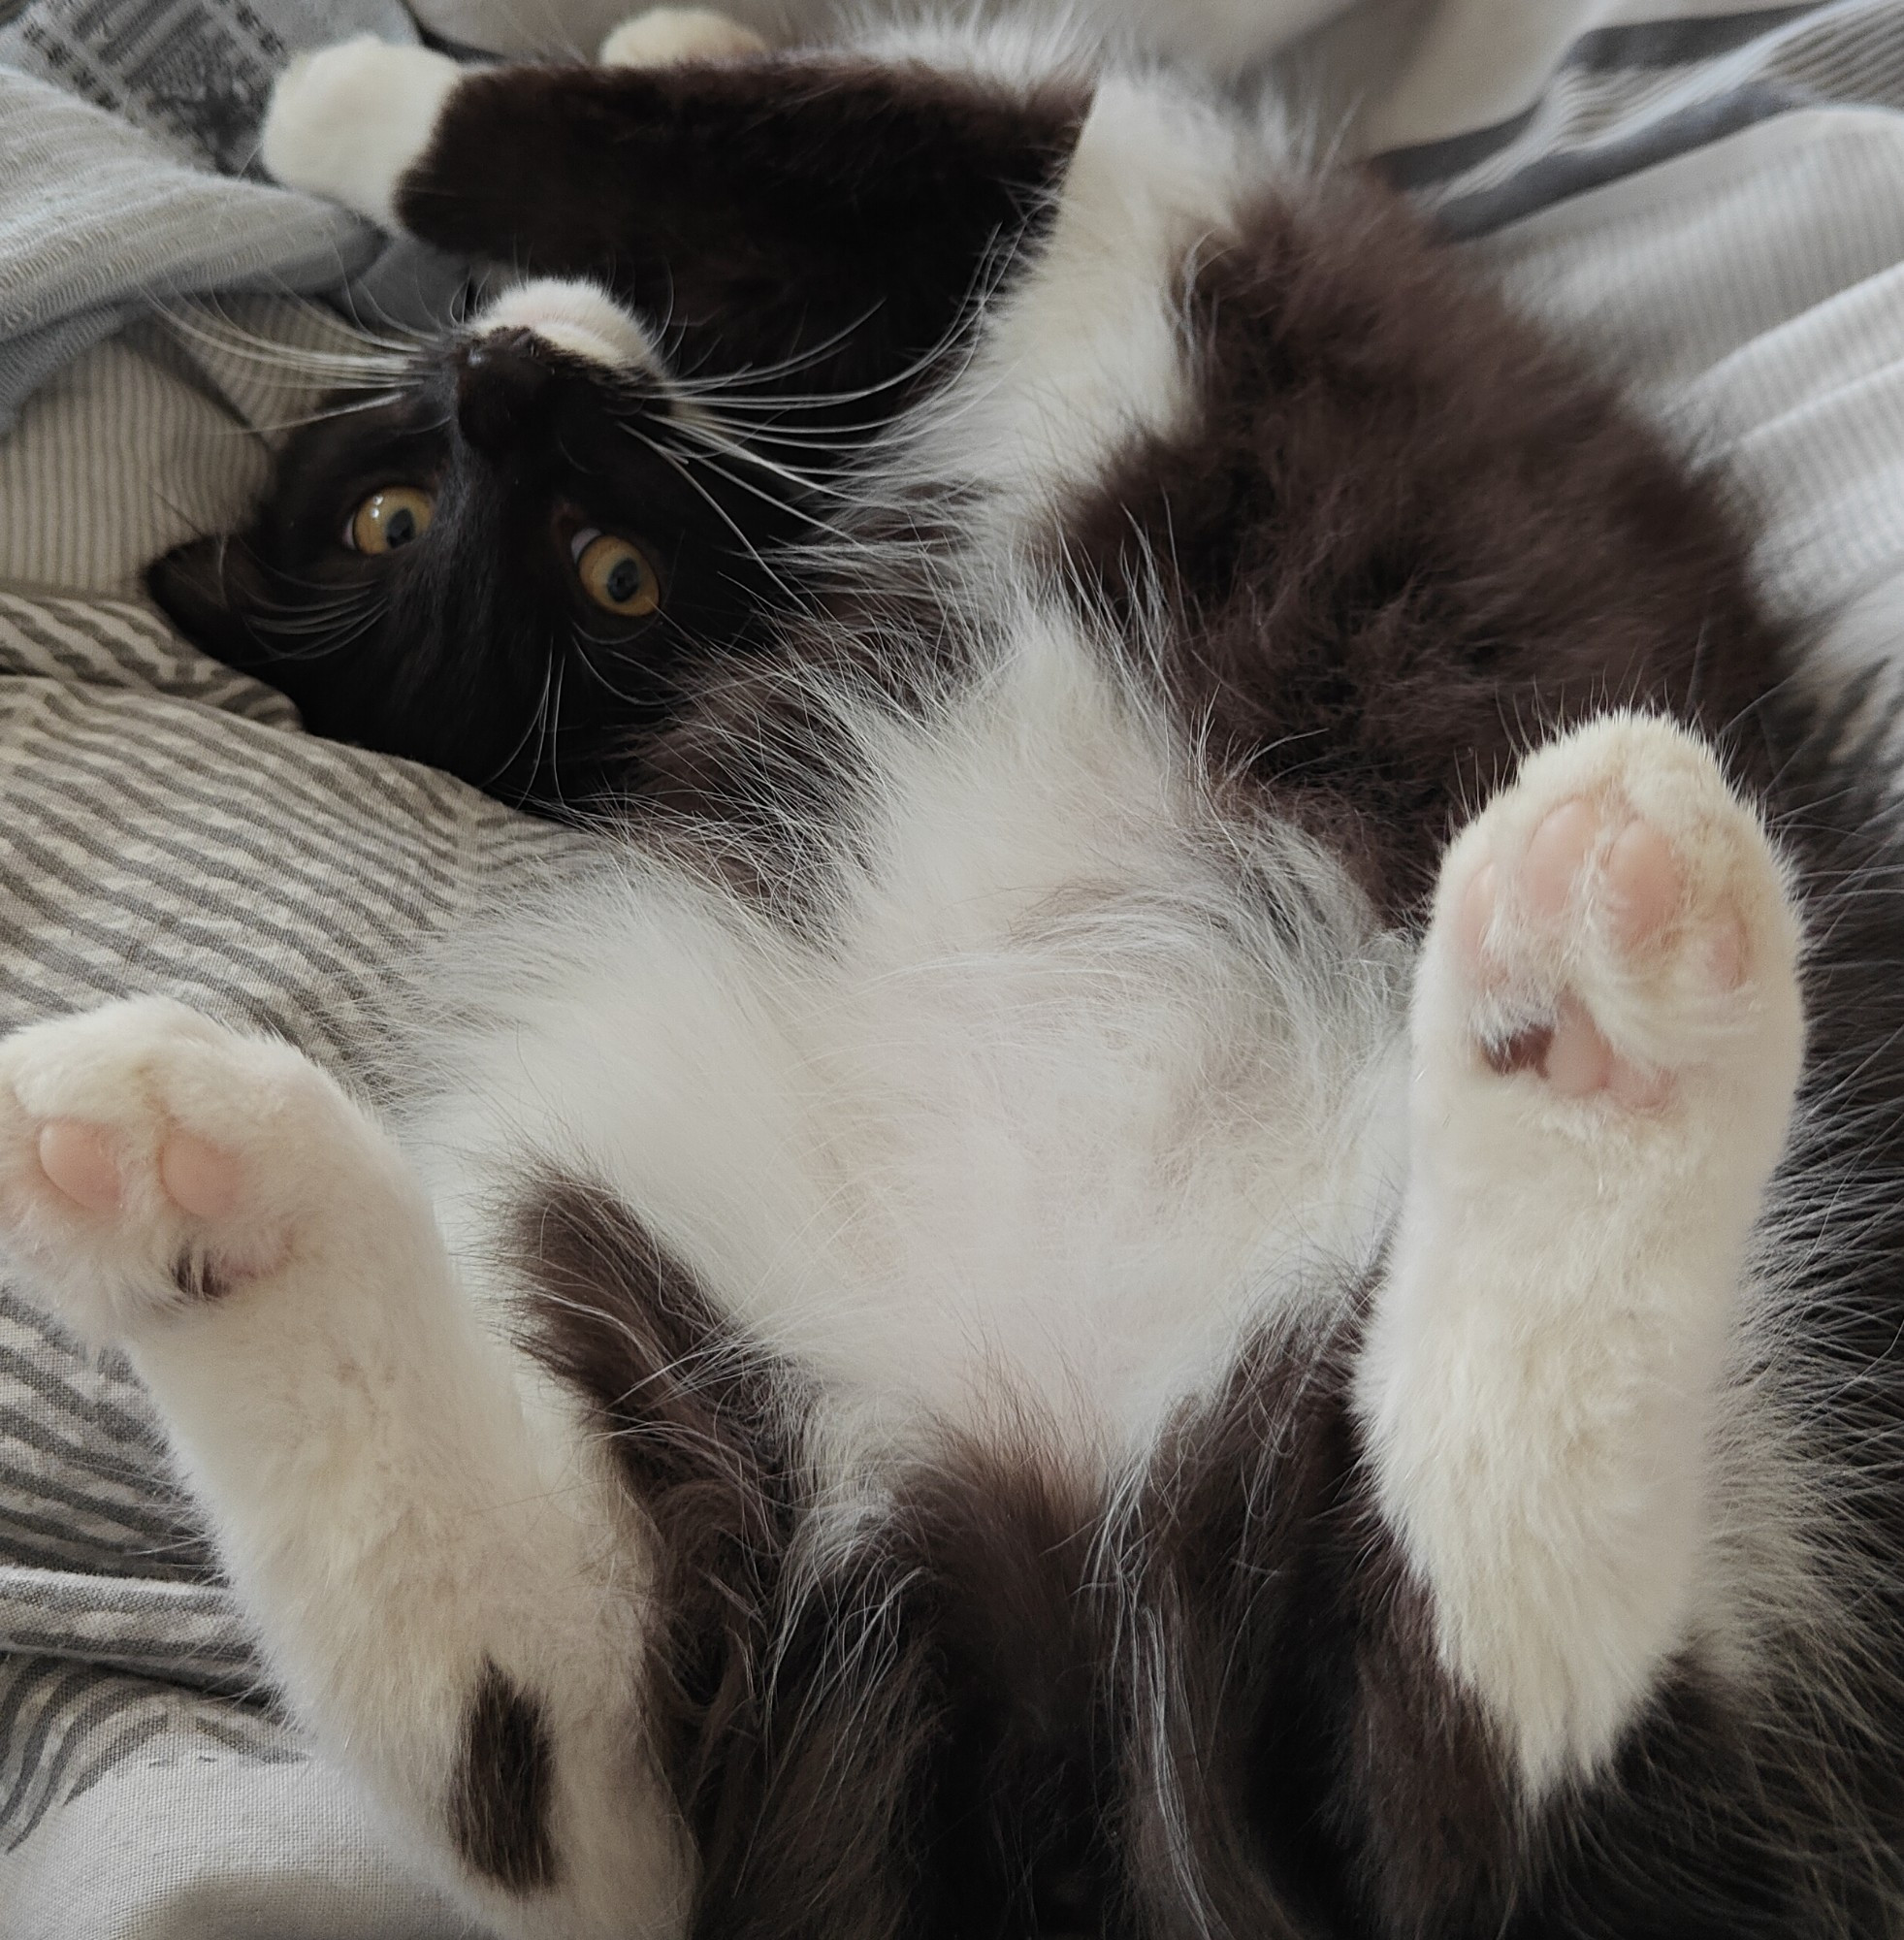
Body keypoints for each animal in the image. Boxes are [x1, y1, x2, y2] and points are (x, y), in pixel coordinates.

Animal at [7, 15, 1900, 1940]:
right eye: (405, 517)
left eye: (590, 565)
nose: (499, 390)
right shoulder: (982, 176)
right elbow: (604, 133)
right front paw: (337, 95)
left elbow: (652, 129)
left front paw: (594, 51)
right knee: (1485, 1775)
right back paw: (1607, 970)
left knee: (600, 1776)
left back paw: (178, 1178)